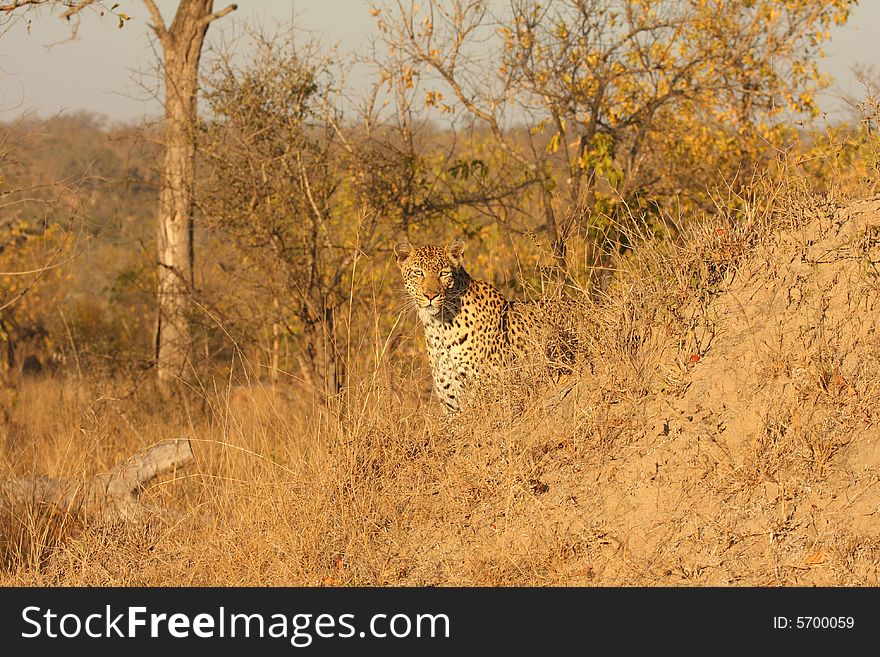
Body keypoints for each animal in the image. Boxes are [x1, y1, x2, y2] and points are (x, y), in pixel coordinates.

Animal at [394, 237, 576, 410]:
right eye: (418, 272)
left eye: (444, 273)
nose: (430, 295)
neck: (439, 327)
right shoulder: (451, 403)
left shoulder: (492, 392)